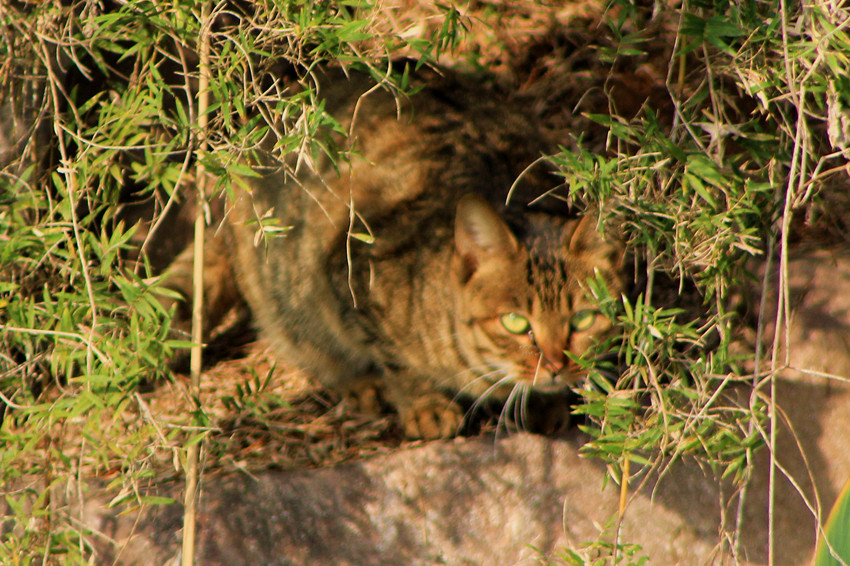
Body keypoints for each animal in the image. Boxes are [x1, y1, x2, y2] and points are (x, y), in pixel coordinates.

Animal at [162, 64, 620, 442]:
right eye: (514, 322)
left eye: (582, 319)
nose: (557, 365)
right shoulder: (347, 271)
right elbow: (396, 360)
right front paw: (424, 406)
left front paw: (548, 402)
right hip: (284, 285)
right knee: (306, 343)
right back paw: (359, 384)